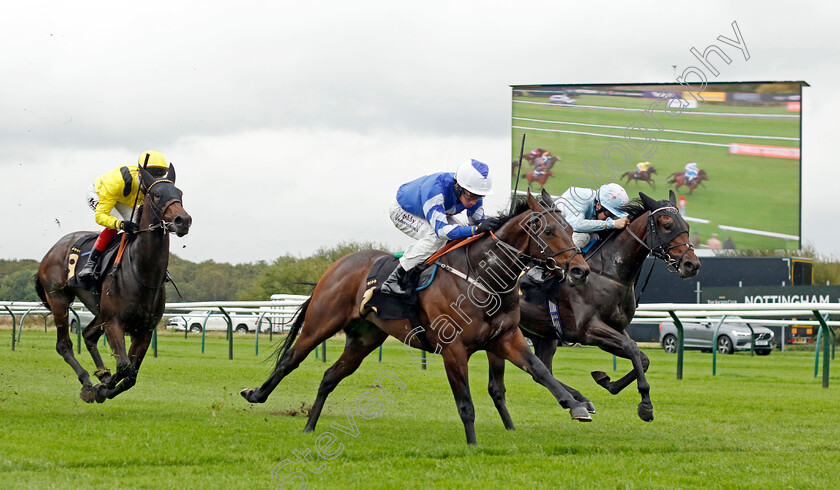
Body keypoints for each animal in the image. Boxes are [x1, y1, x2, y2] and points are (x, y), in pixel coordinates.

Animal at [35, 167, 190, 404]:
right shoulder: (114, 323)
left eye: (179, 192)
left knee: (88, 335)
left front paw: (105, 384)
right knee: (64, 344)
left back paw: (101, 374)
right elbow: (124, 366)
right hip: (59, 299)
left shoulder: (144, 330)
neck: (141, 273)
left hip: (99, 311)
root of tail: (51, 251)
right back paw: (87, 381)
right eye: (156, 194)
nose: (183, 220)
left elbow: (131, 375)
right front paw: (99, 388)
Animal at [244, 192, 592, 444]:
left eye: (571, 230)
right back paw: (257, 394)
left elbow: (540, 372)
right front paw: (472, 445)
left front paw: (577, 405)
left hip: (365, 337)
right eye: (549, 231)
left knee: (330, 376)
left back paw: (309, 426)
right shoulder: (454, 349)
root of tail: (339, 263)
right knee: (291, 358)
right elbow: (465, 403)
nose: (580, 271)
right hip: (322, 321)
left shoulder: (506, 339)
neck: (483, 278)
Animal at [482, 189, 700, 426]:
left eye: (686, 225)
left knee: (543, 368)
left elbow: (642, 358)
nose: (692, 264)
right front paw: (645, 405)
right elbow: (632, 348)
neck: (609, 273)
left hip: (543, 333)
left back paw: (581, 400)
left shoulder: (615, 327)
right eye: (667, 224)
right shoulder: (587, 330)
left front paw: (606, 381)